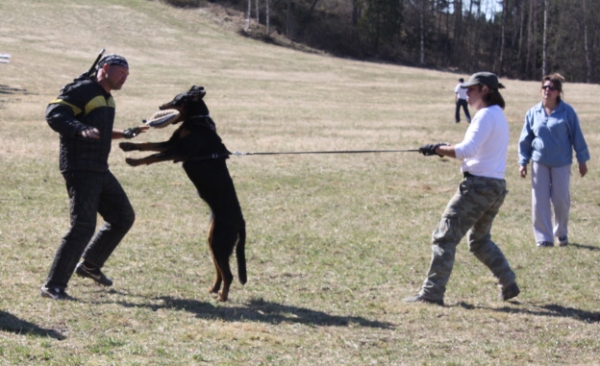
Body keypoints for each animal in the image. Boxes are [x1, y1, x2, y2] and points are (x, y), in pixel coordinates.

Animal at [119, 86, 246, 304]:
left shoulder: (178, 151)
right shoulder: (172, 143)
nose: (161, 106)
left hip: (220, 242)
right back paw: (214, 289)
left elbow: (153, 156)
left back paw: (222, 297)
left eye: (176, 100)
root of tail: (241, 221)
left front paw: (134, 161)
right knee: (220, 271)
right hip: (214, 241)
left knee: (228, 274)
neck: (197, 122)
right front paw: (127, 146)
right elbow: (148, 144)